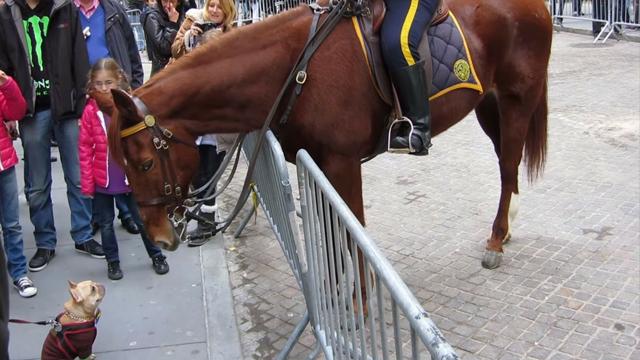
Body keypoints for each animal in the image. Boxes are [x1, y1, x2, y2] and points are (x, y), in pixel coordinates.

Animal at [107, 0, 552, 270]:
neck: (294, 67)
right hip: (488, 106)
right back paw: (506, 230)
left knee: (509, 165)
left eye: (144, 163)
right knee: (506, 167)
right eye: (122, 165)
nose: (159, 236)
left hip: (516, 102)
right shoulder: (317, 166)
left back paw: (495, 240)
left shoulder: (342, 162)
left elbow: (352, 237)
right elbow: (333, 236)